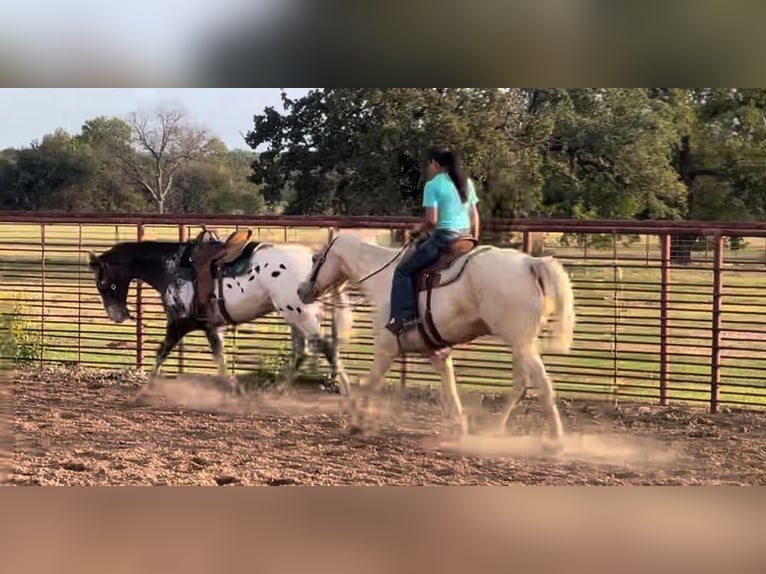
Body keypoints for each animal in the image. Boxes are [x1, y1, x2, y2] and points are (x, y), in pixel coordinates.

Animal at [300, 231, 576, 446]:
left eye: (315, 259)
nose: (302, 291)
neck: (382, 279)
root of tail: (530, 263)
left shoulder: (386, 348)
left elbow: (370, 383)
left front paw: (356, 423)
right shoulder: (436, 352)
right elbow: (450, 387)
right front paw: (460, 425)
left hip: (521, 343)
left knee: (542, 383)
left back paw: (556, 440)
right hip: (521, 343)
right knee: (520, 384)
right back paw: (496, 429)